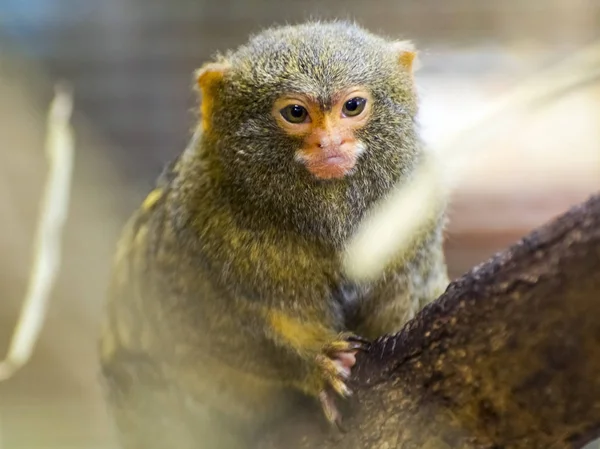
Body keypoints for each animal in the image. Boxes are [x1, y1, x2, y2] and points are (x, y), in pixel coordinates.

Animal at [99, 21, 450, 448]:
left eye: (353, 106)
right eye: (295, 113)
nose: (329, 143)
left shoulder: (416, 212)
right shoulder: (196, 230)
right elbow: (211, 322)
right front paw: (314, 365)